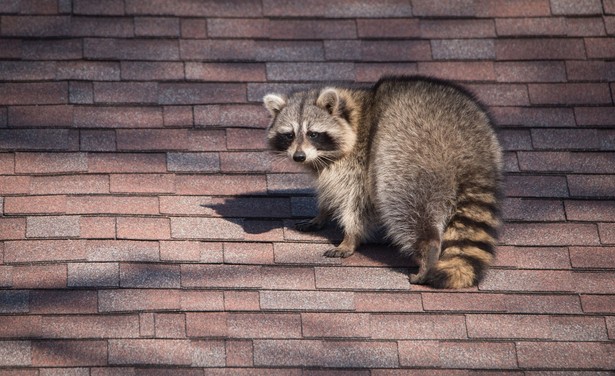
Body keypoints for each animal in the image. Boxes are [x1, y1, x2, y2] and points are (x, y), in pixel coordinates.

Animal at [262, 75, 502, 288]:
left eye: (313, 134)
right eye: (289, 135)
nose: (298, 156)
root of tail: (469, 147)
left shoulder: (359, 162)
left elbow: (356, 202)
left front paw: (350, 237)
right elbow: (330, 191)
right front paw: (322, 214)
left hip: (408, 154)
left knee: (403, 202)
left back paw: (428, 249)